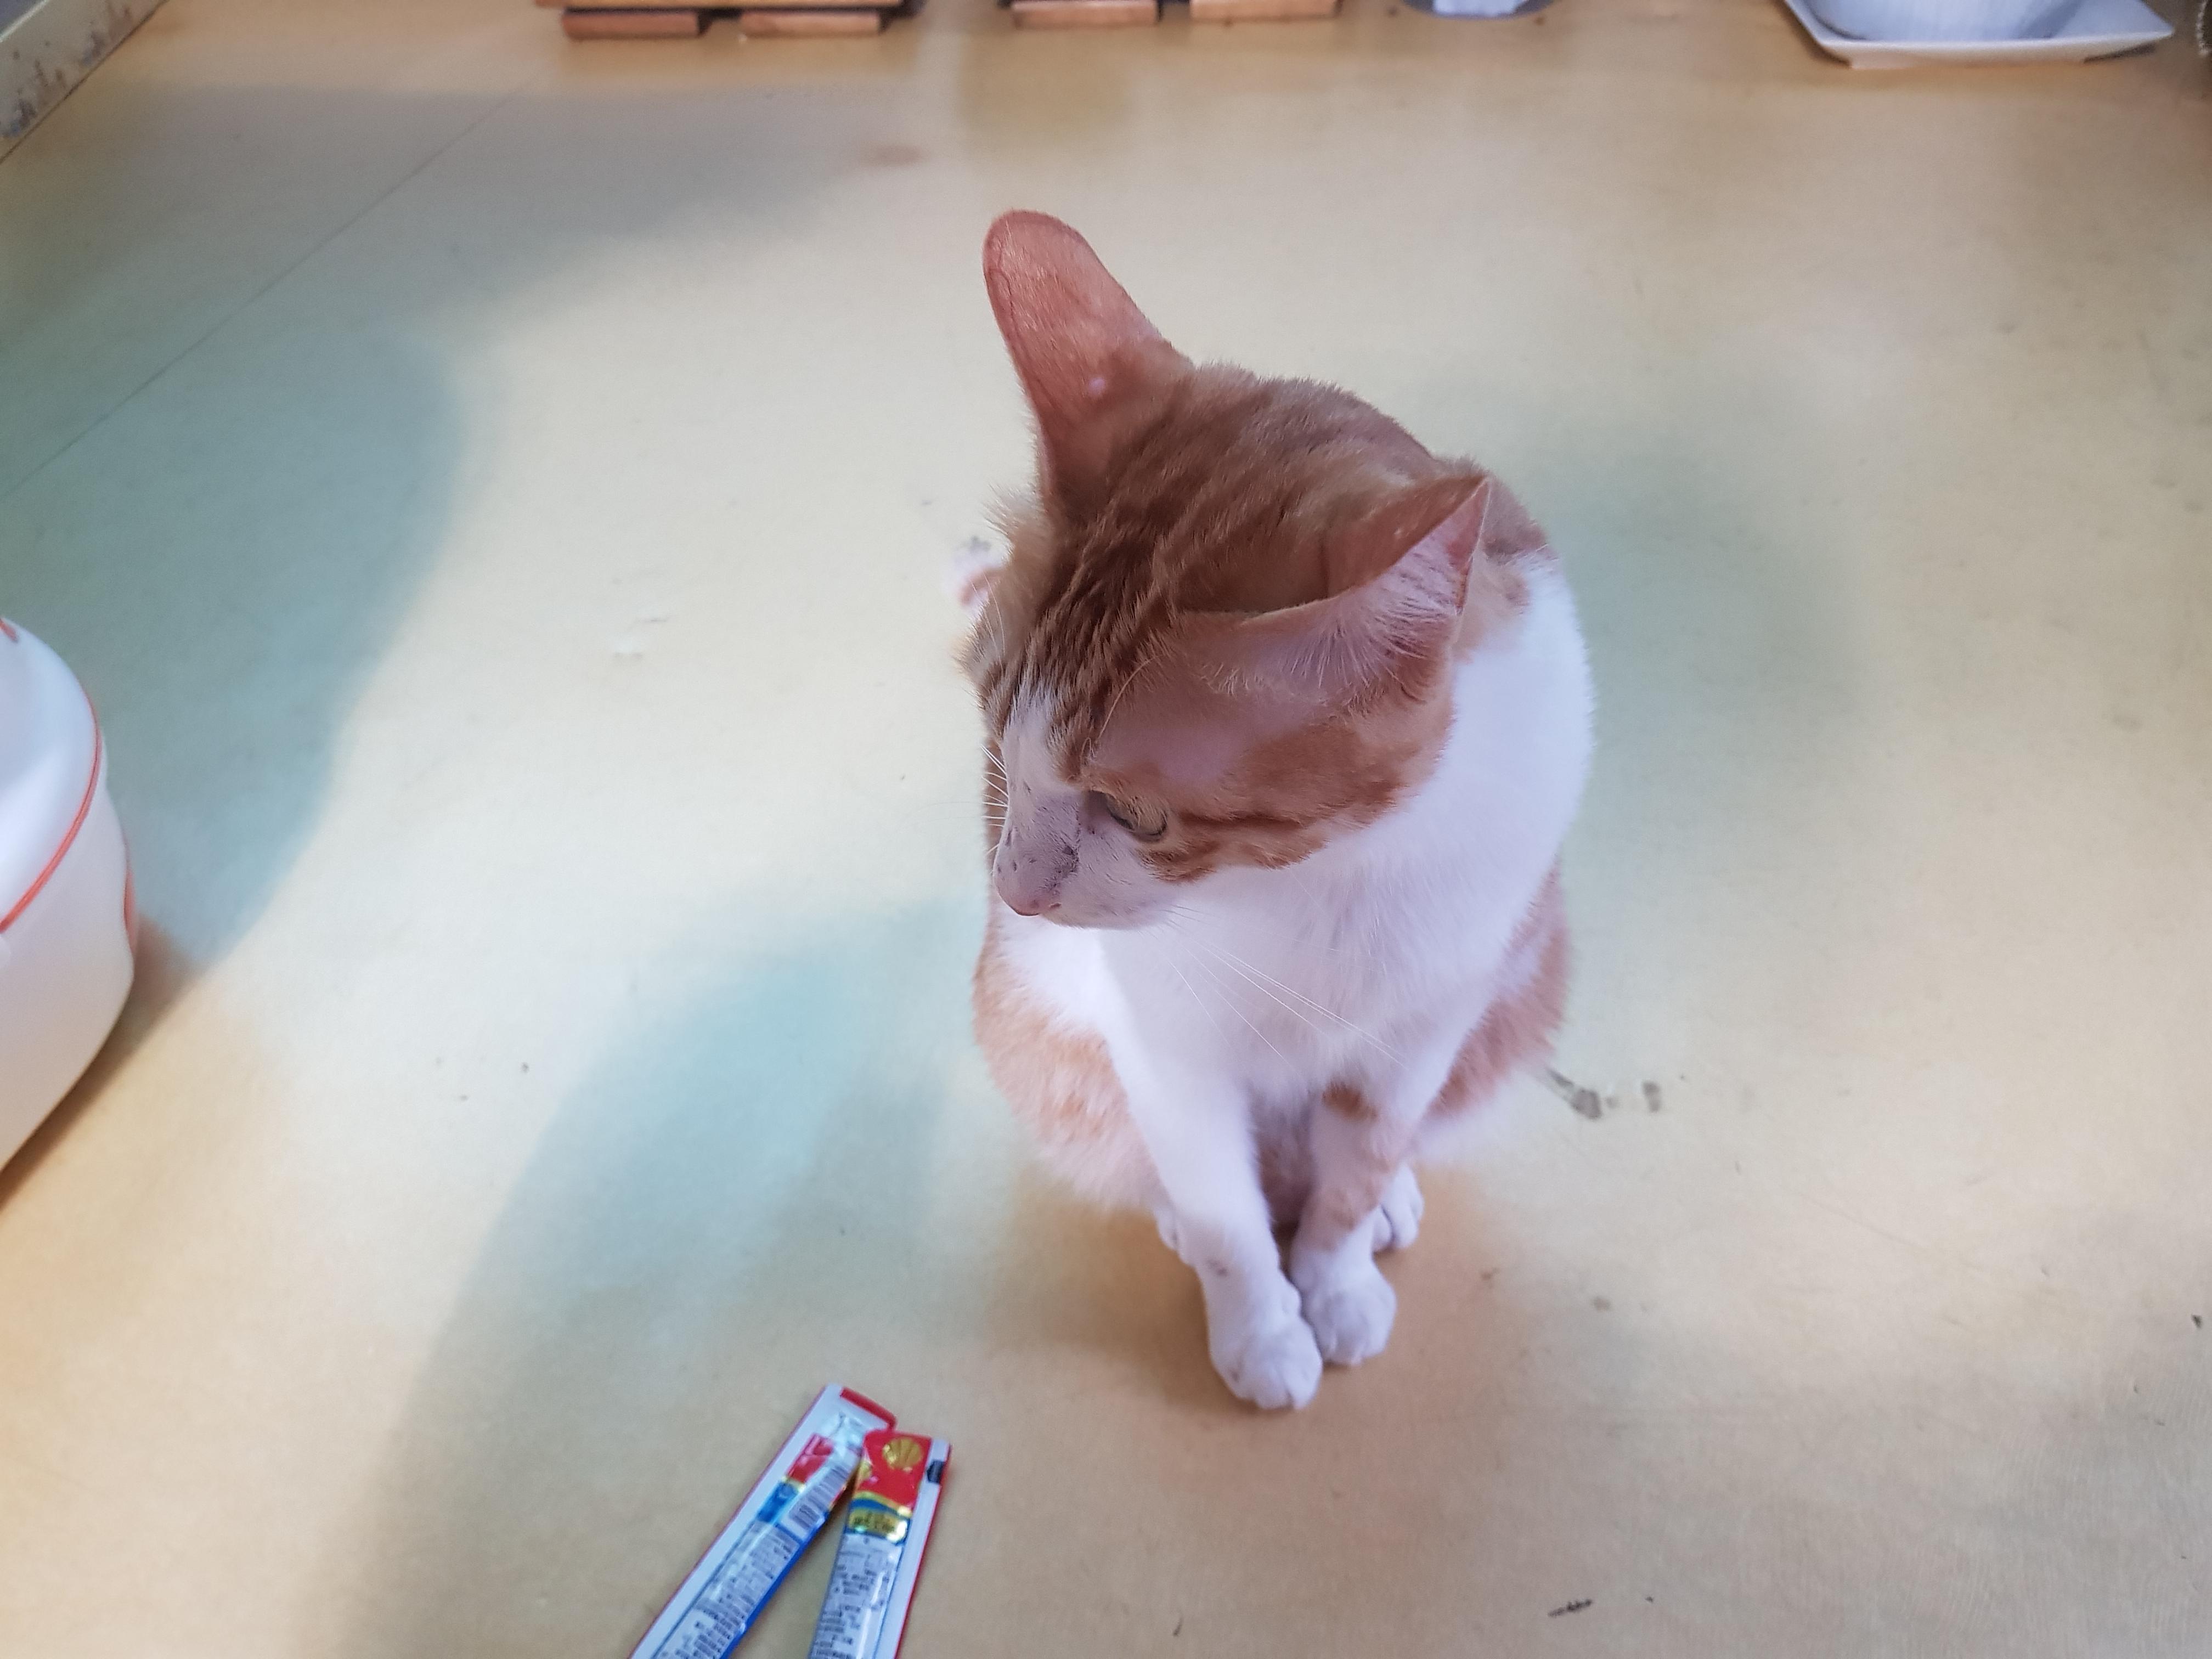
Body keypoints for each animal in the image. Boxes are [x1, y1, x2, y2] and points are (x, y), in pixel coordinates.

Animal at [961, 212, 1593, 1409]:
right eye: (993, 737)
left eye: (1139, 815)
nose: (1012, 889)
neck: (1322, 876)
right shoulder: (1168, 1047)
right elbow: (1225, 1214)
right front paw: (1260, 1326)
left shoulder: (1419, 1036)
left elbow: (1352, 1181)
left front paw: (1336, 1281)